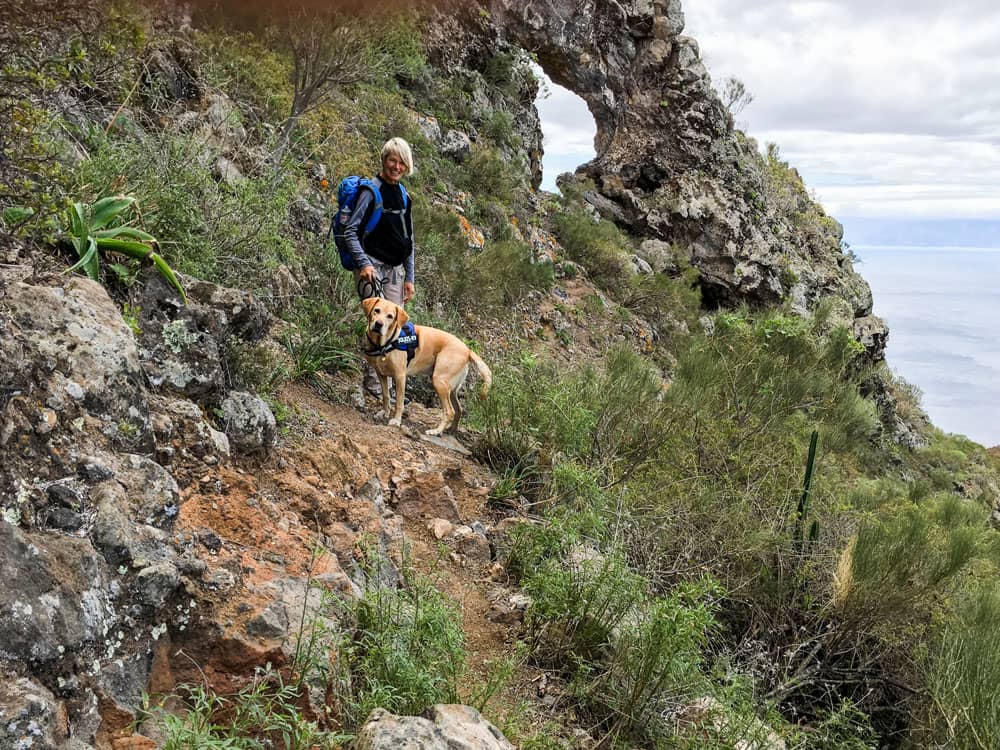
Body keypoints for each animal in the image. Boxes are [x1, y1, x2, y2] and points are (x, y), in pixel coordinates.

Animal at [362, 294, 490, 434]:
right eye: (377, 311)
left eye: (390, 316)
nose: (378, 324)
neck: (384, 344)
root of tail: (468, 350)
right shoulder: (381, 374)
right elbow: (385, 396)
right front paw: (384, 413)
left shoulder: (400, 376)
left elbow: (399, 402)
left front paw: (396, 421)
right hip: (451, 388)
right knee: (459, 410)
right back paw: (451, 430)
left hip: (439, 381)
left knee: (449, 411)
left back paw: (436, 431)